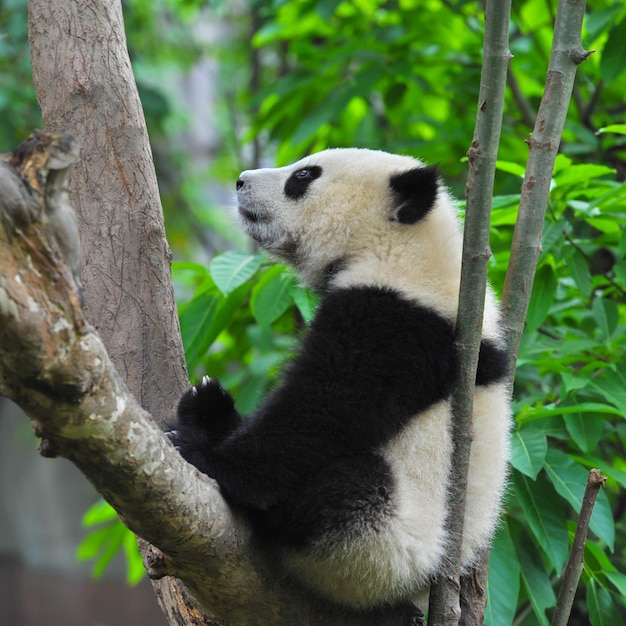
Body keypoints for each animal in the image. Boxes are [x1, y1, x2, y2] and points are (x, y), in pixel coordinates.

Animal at [166, 147, 508, 608]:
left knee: (349, 489)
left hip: (388, 543)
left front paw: (205, 455)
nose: (240, 181)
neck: (406, 247)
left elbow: (323, 411)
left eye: (304, 176)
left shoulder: (398, 324)